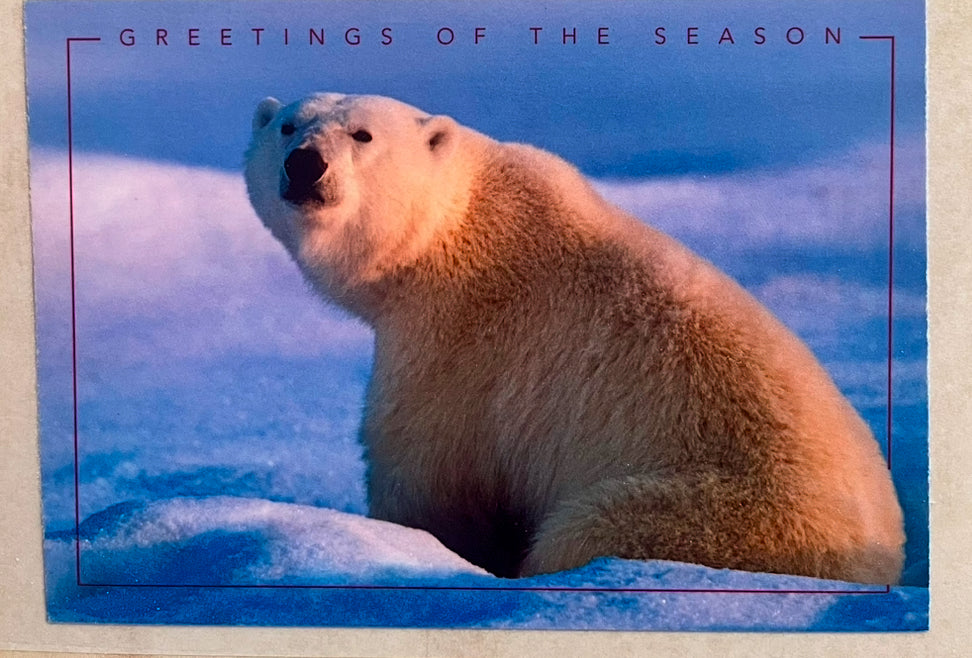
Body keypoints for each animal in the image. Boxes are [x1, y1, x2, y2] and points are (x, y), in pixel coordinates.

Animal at [244, 92, 905, 584]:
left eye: (362, 135)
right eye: (287, 125)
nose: (305, 163)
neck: (451, 232)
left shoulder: (459, 345)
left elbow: (424, 471)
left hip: (719, 516)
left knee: (585, 530)